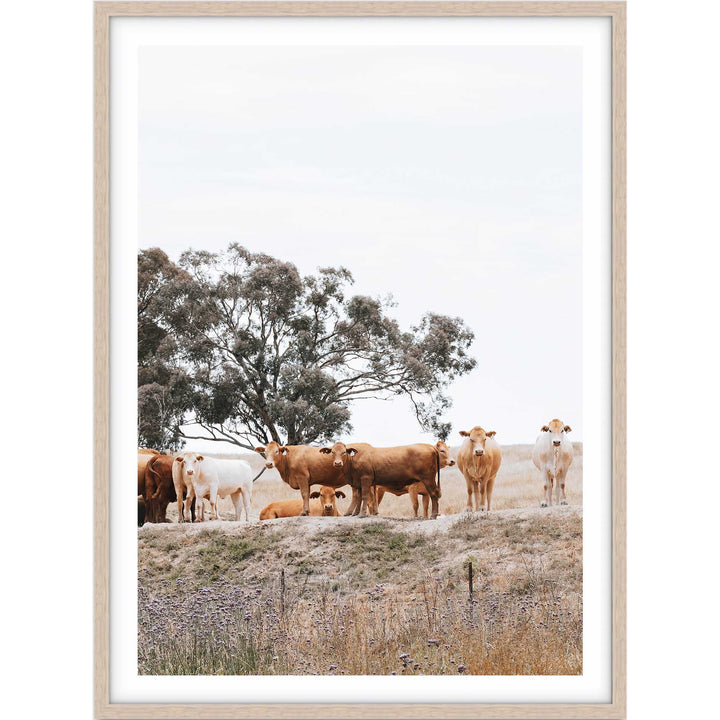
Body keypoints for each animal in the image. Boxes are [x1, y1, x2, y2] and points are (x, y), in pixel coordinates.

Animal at [322, 441, 453, 518]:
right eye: (332, 452)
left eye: (344, 452)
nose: (337, 463)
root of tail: (429, 447)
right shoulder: (358, 482)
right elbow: (358, 498)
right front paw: (355, 513)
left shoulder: (365, 479)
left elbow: (364, 496)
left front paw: (362, 514)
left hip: (428, 479)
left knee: (434, 494)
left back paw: (433, 515)